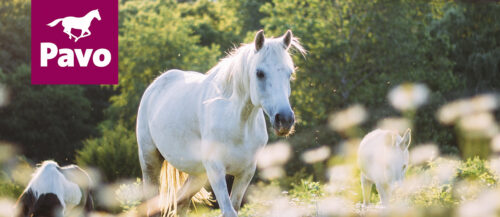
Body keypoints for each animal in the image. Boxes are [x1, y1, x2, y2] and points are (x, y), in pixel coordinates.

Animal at [137, 29, 304, 216]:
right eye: (260, 73)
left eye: (289, 73)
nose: (285, 119)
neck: (238, 124)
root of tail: (155, 85)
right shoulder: (216, 170)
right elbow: (228, 211)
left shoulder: (246, 172)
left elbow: (234, 208)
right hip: (150, 162)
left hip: (198, 175)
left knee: (181, 202)